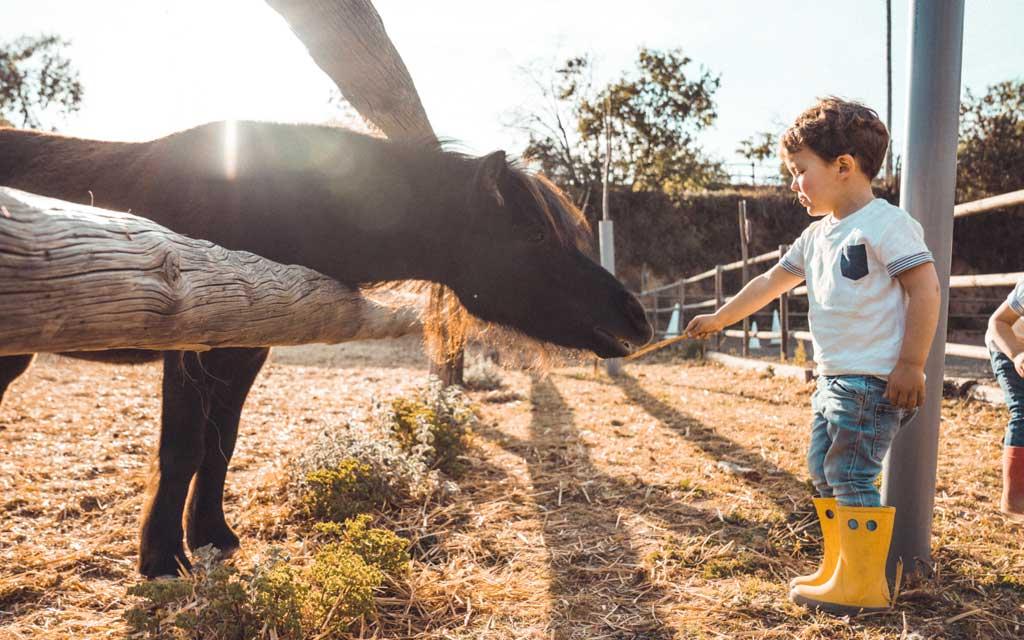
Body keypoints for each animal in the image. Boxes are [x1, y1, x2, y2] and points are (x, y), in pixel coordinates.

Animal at [0, 119, 651, 573]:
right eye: (536, 233)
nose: (637, 318)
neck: (267, 198)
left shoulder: (244, 351)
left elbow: (220, 447)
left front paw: (212, 536)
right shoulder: (191, 343)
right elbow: (182, 450)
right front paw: (162, 561)